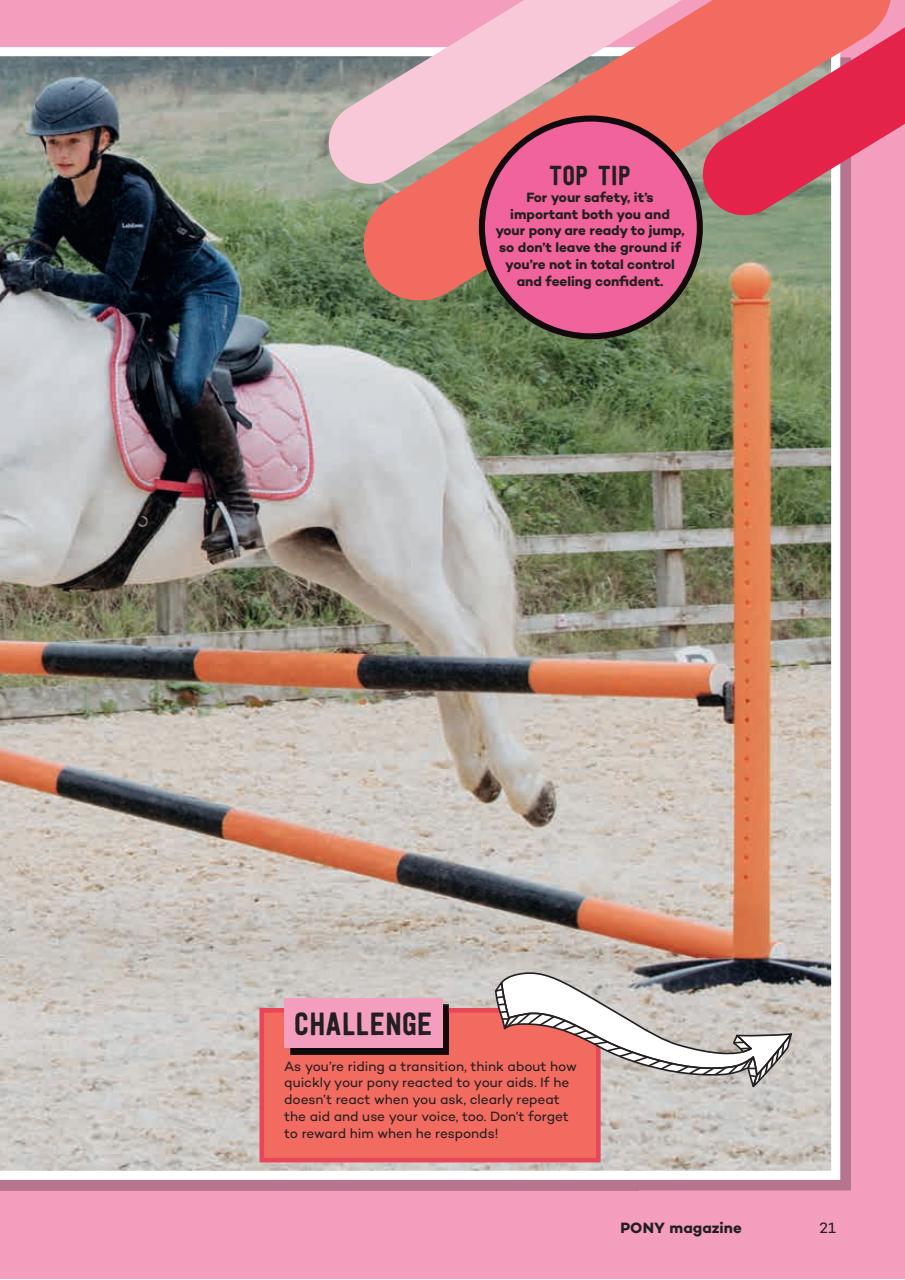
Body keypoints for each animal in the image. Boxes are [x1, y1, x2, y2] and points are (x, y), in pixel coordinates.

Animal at [0, 279, 556, 826]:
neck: (23, 366)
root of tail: (405, 383)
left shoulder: (42, 538)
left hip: (391, 555)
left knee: (461, 638)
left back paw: (527, 787)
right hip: (334, 556)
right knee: (435, 641)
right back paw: (478, 770)